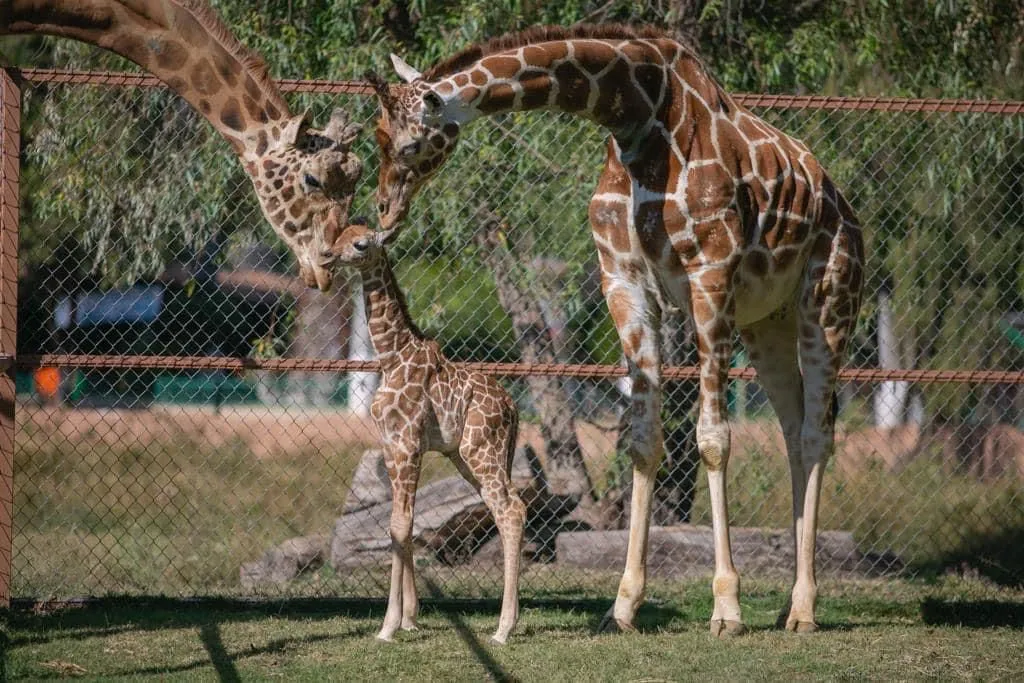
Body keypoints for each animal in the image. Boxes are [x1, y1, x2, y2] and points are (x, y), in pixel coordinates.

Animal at [333, 222, 528, 643]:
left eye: (360, 244)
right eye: (338, 235)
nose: (327, 256)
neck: (392, 357)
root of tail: (513, 407)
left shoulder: (408, 443)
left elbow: (402, 524)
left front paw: (389, 626)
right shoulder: (391, 445)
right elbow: (399, 525)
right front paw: (410, 616)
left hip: (480, 451)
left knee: (511, 510)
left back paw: (503, 629)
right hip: (468, 457)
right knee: (507, 508)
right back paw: (507, 622)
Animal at [368, 25, 864, 634]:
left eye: (407, 146)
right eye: (377, 137)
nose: (384, 211)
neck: (636, 114)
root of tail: (837, 198)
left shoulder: (710, 275)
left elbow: (713, 440)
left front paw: (726, 607)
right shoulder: (623, 281)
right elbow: (643, 441)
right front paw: (623, 605)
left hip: (829, 297)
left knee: (818, 433)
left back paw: (804, 608)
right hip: (765, 321)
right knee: (793, 431)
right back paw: (790, 603)